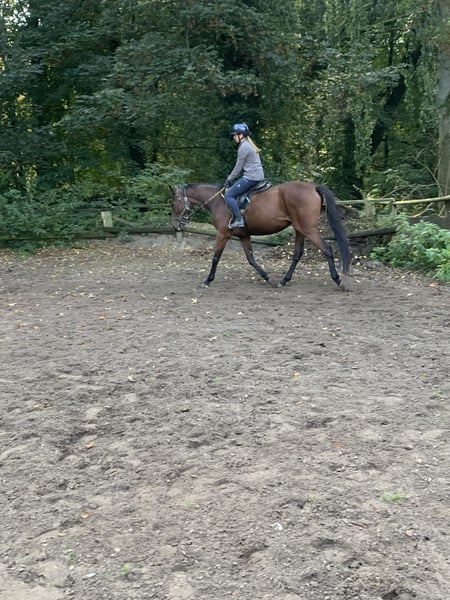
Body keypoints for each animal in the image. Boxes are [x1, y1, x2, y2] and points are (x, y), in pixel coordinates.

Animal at [170, 181, 351, 290]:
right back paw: (283, 280)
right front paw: (268, 278)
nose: (174, 225)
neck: (218, 202)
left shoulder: (223, 234)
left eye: (173, 203)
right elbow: (251, 259)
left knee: (327, 249)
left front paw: (208, 280)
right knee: (297, 254)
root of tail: (313, 187)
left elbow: (215, 258)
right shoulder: (244, 236)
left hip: (308, 229)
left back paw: (338, 280)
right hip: (300, 229)